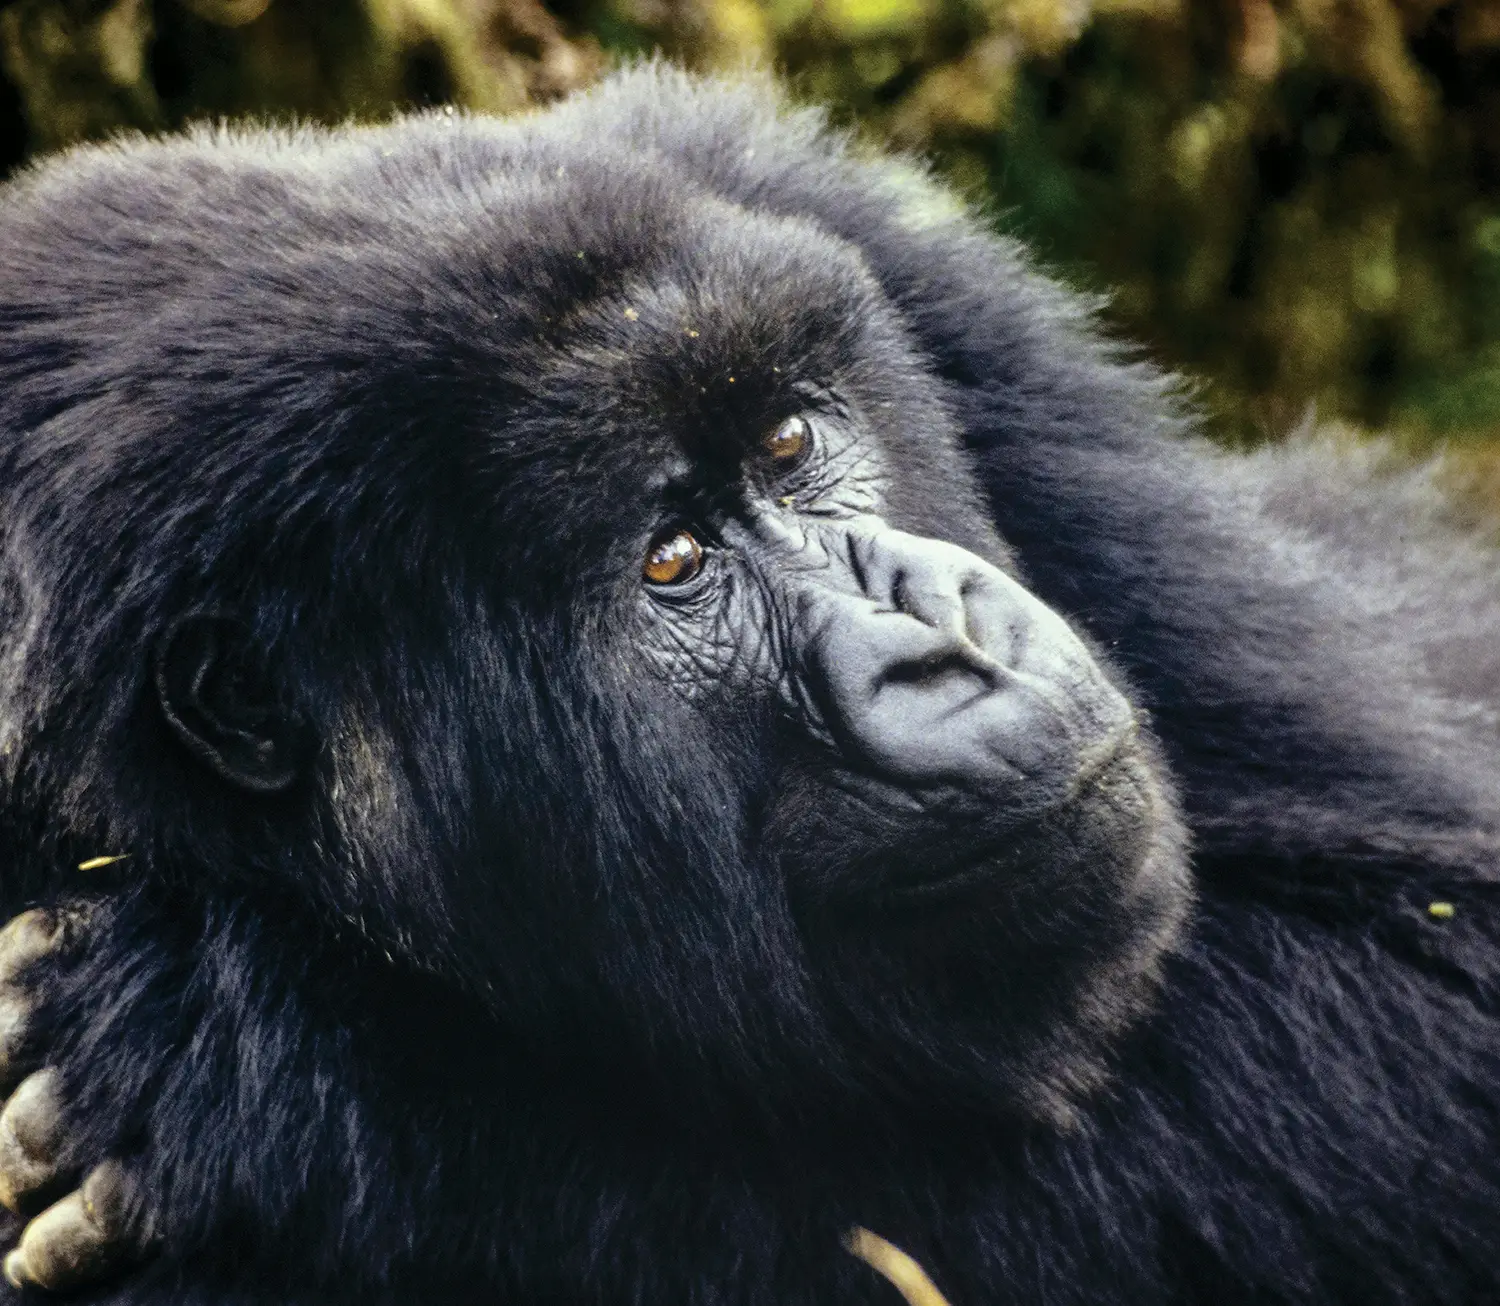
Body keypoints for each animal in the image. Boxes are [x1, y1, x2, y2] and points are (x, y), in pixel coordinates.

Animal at [0, 66, 1494, 1306]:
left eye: (785, 439)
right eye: (670, 559)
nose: (948, 639)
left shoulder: (915, 276)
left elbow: (1437, 972)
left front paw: (321, 1086)